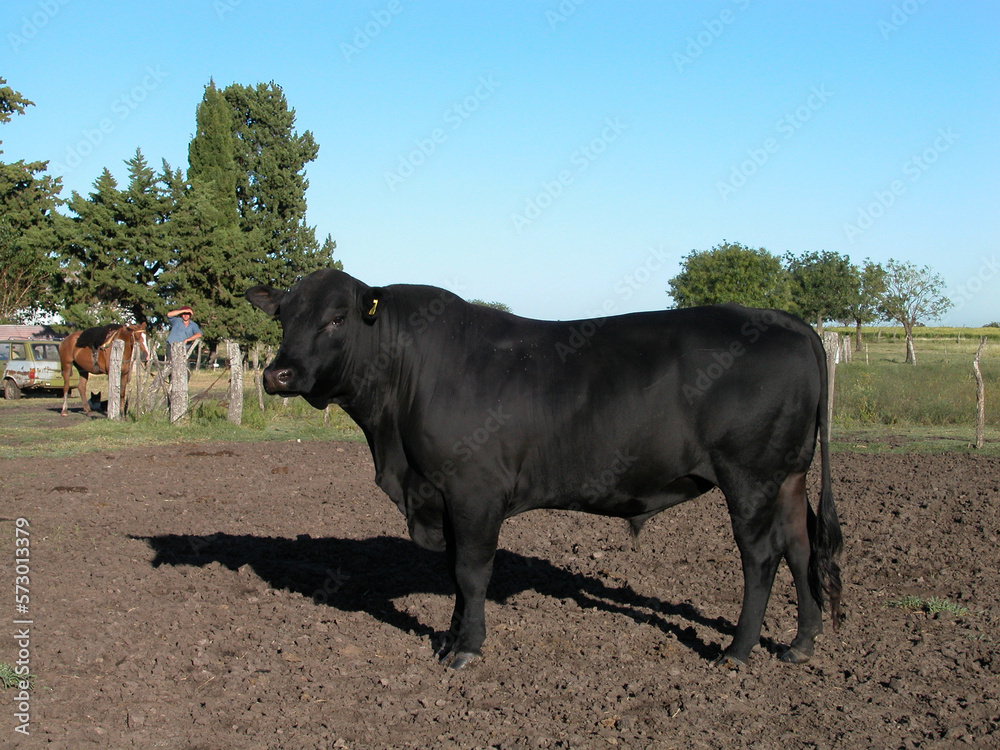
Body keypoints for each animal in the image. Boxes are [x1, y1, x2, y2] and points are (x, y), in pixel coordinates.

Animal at [246, 269, 843, 670]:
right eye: (284, 317)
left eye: (336, 318)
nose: (278, 374)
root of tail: (787, 321)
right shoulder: (443, 495)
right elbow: (454, 573)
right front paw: (449, 639)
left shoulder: (475, 491)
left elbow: (471, 571)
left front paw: (467, 649)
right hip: (788, 479)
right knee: (800, 547)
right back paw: (801, 643)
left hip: (749, 477)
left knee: (762, 557)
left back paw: (738, 652)